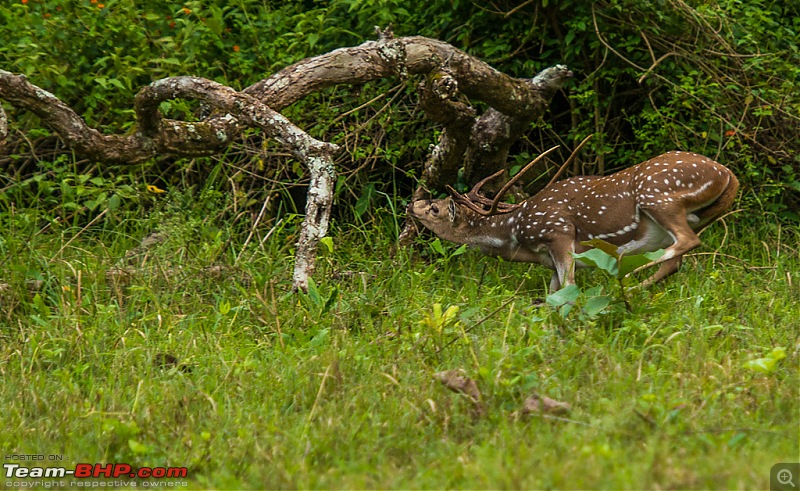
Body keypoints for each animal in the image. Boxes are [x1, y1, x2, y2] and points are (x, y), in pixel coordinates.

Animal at [410, 150, 740, 292]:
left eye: (436, 209)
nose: (412, 204)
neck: (517, 234)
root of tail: (727, 174)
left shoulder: (558, 233)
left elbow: (568, 286)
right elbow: (554, 291)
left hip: (658, 196)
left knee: (685, 242)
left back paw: (626, 277)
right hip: (687, 217)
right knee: (675, 261)